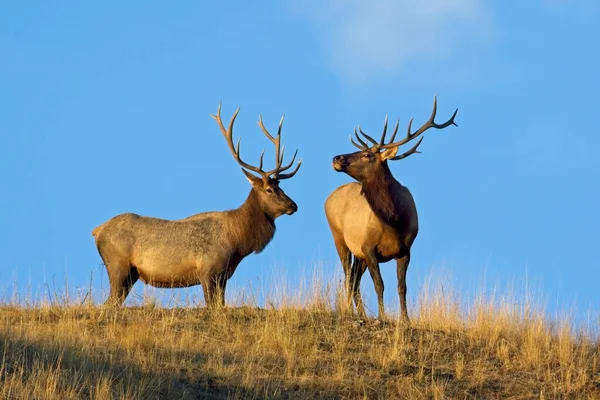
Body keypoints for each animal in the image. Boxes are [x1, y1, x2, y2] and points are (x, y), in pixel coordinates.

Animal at [92, 104, 302, 308]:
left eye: (280, 186)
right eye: (269, 189)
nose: (293, 205)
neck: (237, 241)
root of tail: (97, 231)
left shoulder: (223, 276)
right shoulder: (208, 270)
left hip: (130, 274)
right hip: (118, 267)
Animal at [324, 97, 460, 322]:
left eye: (367, 154)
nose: (336, 158)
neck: (395, 221)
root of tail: (329, 198)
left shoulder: (405, 249)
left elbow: (401, 287)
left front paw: (406, 319)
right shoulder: (368, 247)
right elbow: (379, 285)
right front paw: (382, 315)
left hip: (357, 253)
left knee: (353, 279)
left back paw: (361, 313)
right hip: (339, 237)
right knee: (348, 277)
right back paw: (350, 311)